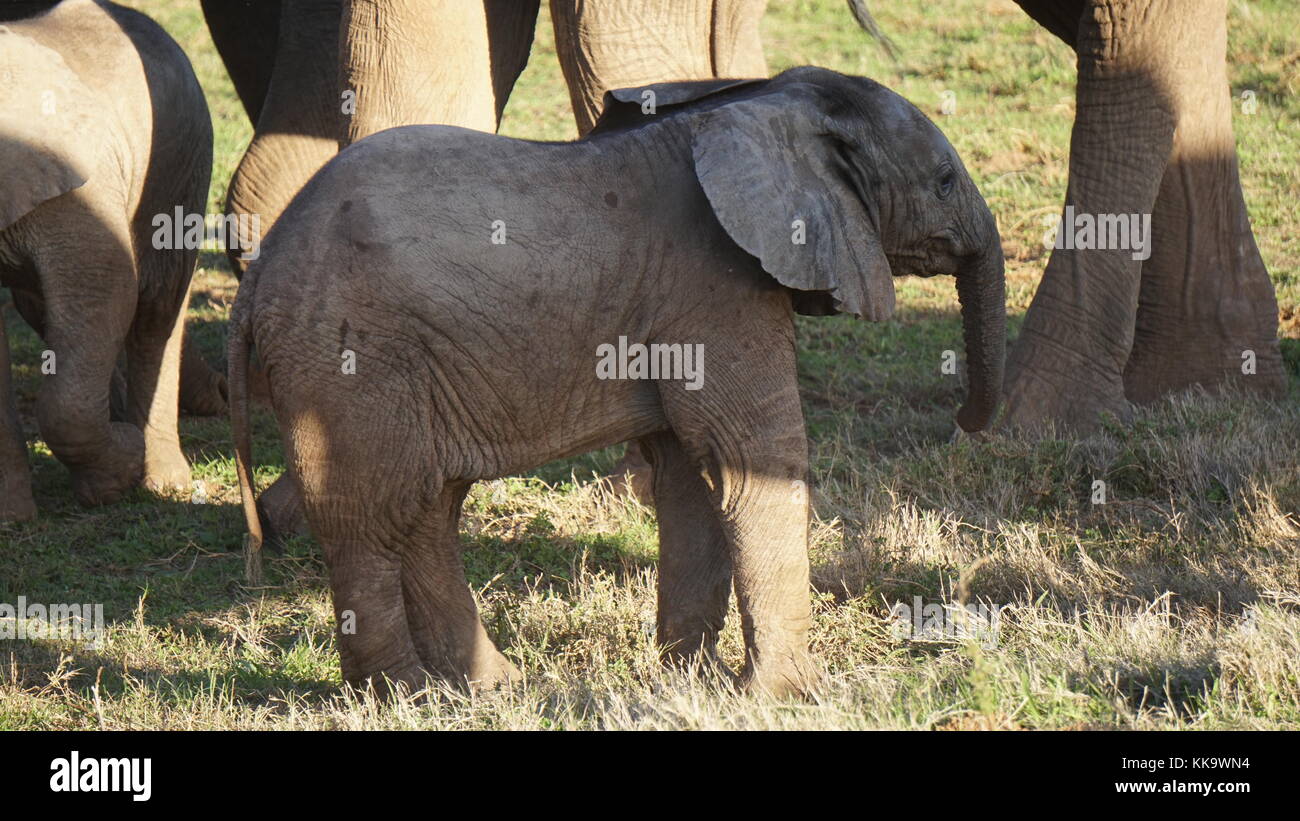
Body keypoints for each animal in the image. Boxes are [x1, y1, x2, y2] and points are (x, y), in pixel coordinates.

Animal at [0, 0, 213, 519]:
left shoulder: (80, 186)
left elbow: (109, 286)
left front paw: (117, 478)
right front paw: (13, 520)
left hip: (181, 163)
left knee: (156, 310)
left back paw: (163, 481)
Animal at [228, 67, 1006, 697]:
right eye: (943, 181)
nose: (966, 418)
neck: (756, 104)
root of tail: (259, 274)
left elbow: (692, 478)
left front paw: (692, 680)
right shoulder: (715, 289)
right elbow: (754, 458)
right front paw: (790, 695)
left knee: (427, 508)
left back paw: (489, 687)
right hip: (351, 359)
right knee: (369, 517)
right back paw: (405, 695)